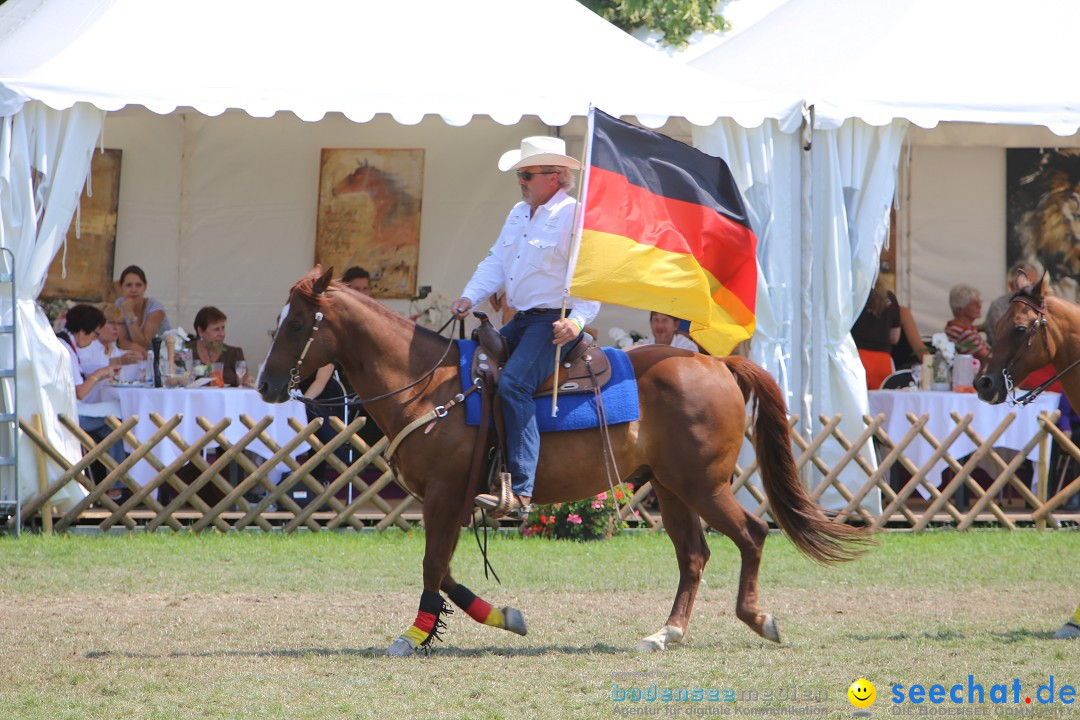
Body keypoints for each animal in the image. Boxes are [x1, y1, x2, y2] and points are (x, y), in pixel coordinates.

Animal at [257, 267, 872, 656]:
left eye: (297, 323)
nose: (264, 385)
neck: (429, 385)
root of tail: (717, 363)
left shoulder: (444, 494)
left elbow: (433, 567)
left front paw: (413, 636)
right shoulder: (451, 500)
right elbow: (448, 569)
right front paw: (503, 616)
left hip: (703, 484)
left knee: (751, 533)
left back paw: (758, 619)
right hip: (672, 488)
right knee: (694, 555)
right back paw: (666, 633)